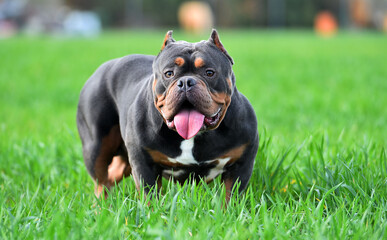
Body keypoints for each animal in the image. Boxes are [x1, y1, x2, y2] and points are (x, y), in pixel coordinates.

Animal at [76, 29, 260, 203]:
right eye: (169, 73)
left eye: (209, 72)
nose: (186, 82)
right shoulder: (144, 164)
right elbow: (150, 197)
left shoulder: (240, 164)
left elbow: (231, 197)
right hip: (96, 147)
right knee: (101, 182)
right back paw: (100, 207)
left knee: (111, 175)